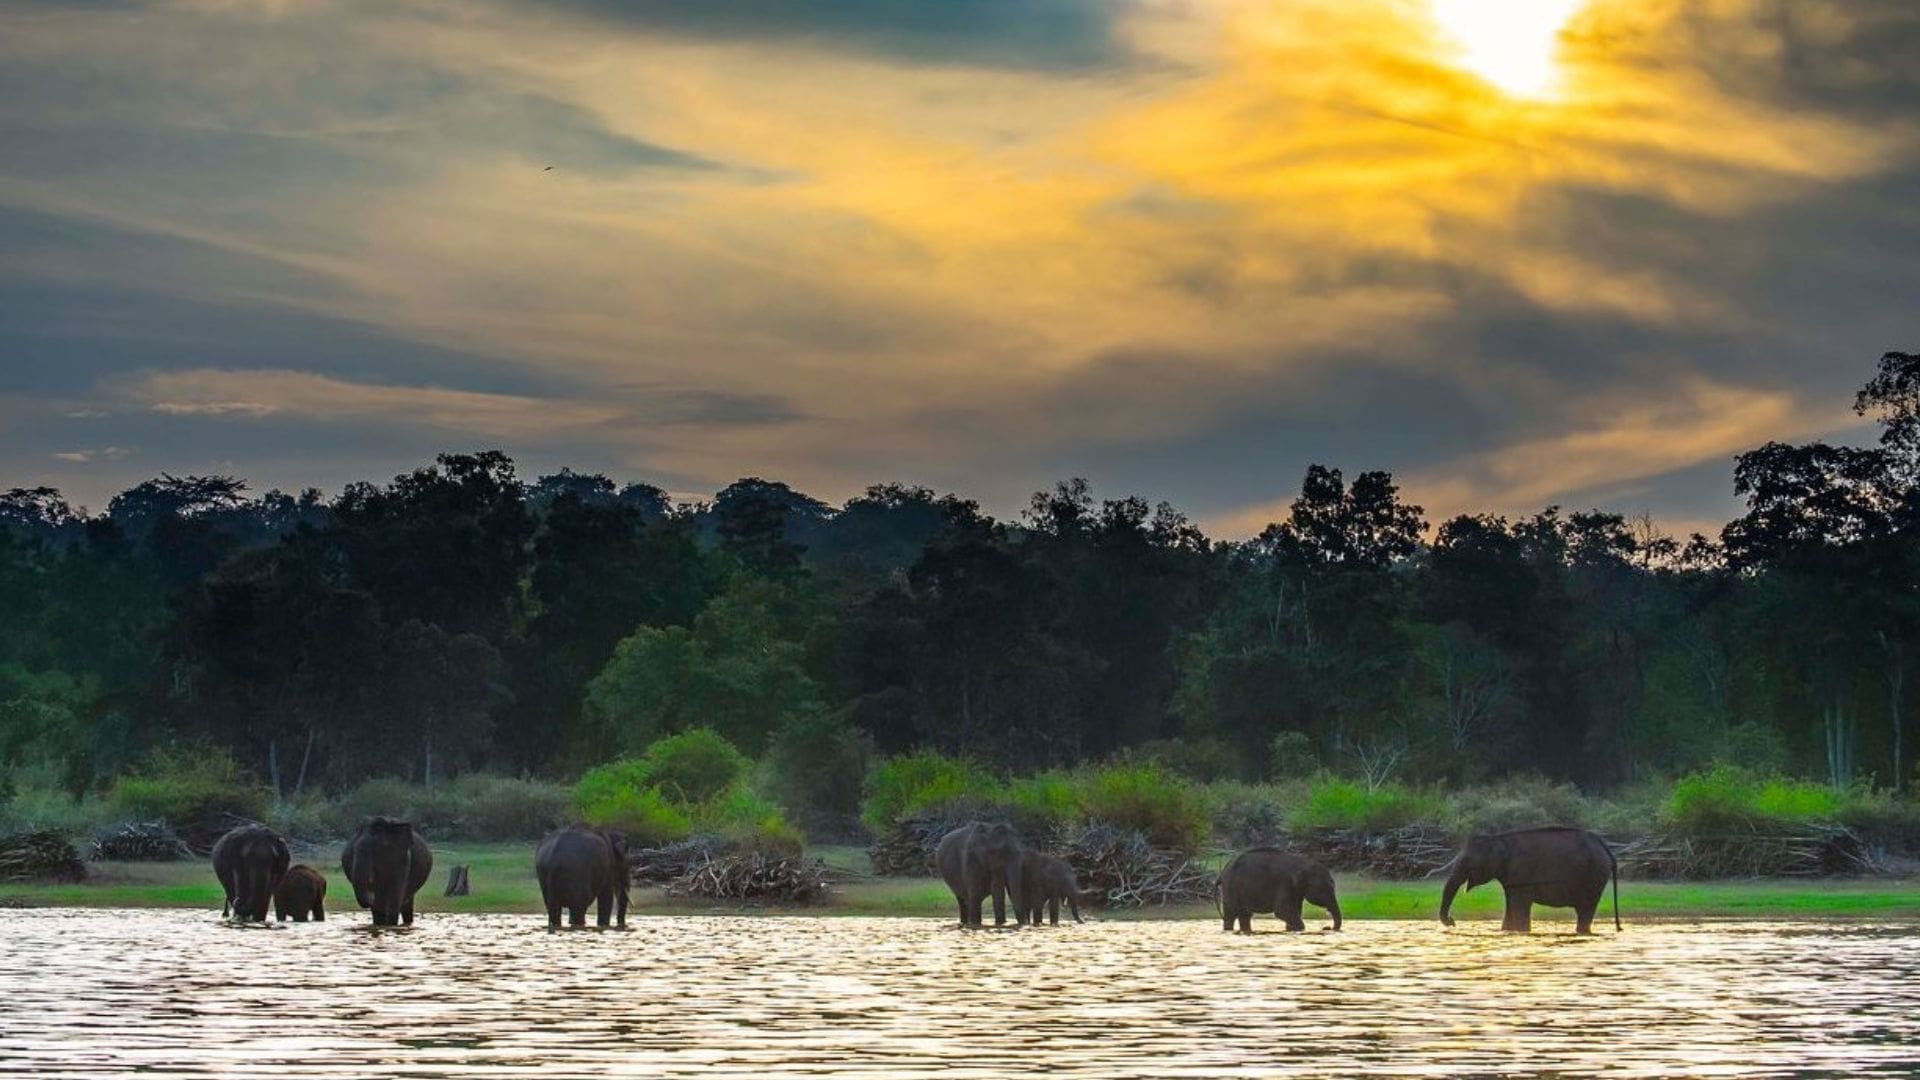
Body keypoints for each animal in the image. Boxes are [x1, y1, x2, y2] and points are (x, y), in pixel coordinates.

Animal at [1443, 826, 1620, 930]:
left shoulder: (1522, 874)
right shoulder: (1512, 879)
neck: (1500, 838)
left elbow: (1519, 907)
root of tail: (1605, 846)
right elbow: (1511, 907)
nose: (1452, 921)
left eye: (1468, 862)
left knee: (1585, 909)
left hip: (1594, 876)